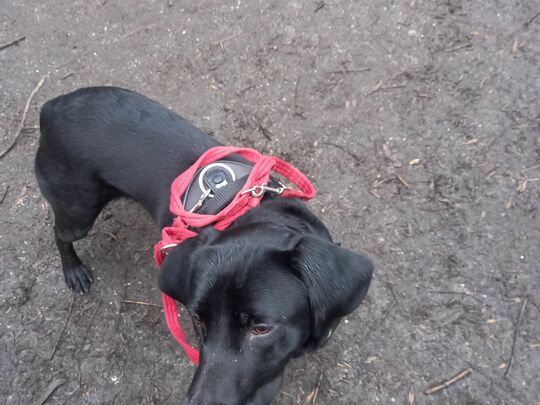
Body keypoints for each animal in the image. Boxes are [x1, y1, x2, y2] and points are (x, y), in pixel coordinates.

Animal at [33, 87, 372, 404]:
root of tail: (52, 108)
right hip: (78, 210)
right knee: (59, 233)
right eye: (197, 320)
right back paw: (73, 270)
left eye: (262, 328)